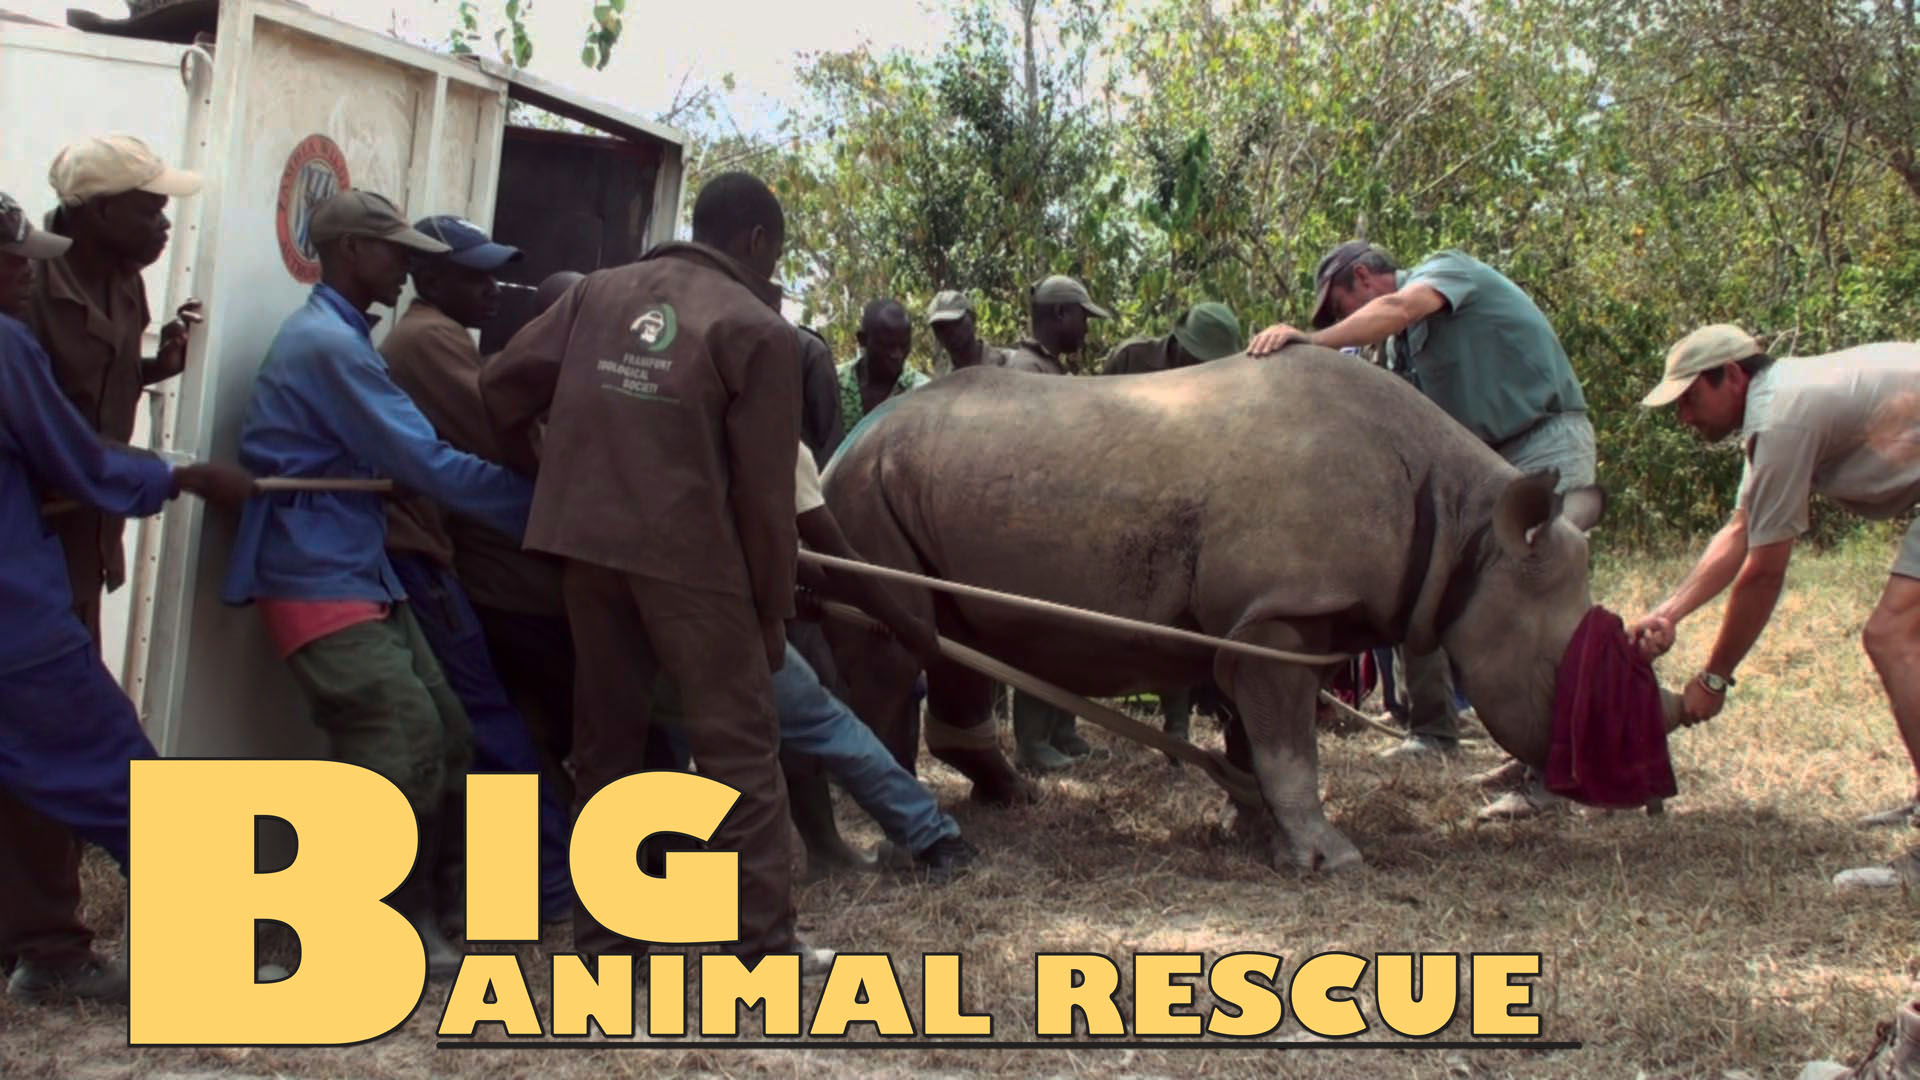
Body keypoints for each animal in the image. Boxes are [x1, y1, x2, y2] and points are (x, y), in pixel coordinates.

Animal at [819, 346, 1654, 871]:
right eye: (1556, 672)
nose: (1634, 795)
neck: (1468, 528)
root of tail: (843, 447)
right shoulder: (1281, 615)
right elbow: (1287, 744)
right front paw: (1330, 859)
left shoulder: (1271, 621)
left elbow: (1260, 738)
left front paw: (1253, 831)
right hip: (861, 497)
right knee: (894, 647)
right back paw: (908, 841)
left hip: (914, 487)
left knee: (949, 642)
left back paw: (1016, 799)